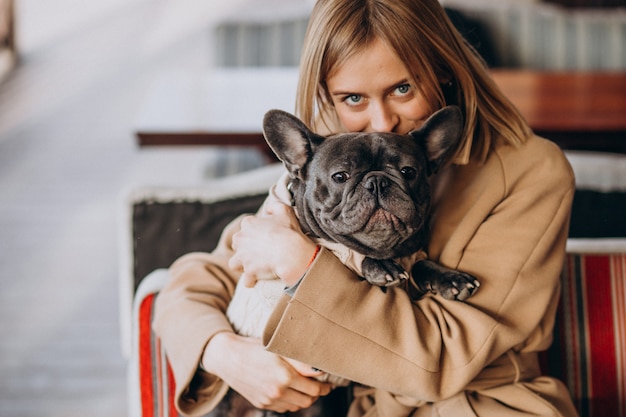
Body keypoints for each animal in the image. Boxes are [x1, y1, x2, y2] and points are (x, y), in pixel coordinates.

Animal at [214, 105, 478, 416]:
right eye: (340, 176)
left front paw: (451, 278)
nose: (377, 181)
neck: (384, 248)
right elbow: (341, 252)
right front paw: (379, 267)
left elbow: (420, 263)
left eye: (408, 171)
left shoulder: (413, 253)